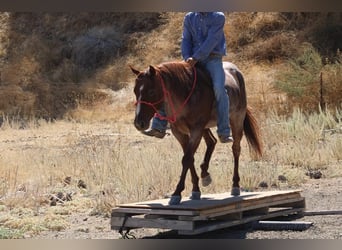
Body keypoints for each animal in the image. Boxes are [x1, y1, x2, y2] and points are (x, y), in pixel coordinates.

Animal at [130, 60, 262, 205]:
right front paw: (195, 190)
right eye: (135, 91)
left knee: (235, 149)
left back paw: (235, 185)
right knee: (211, 142)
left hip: (236, 120)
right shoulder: (179, 133)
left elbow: (187, 159)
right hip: (205, 127)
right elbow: (190, 158)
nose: (139, 123)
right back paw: (205, 174)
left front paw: (177, 193)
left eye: (151, 92)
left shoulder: (196, 129)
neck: (184, 94)